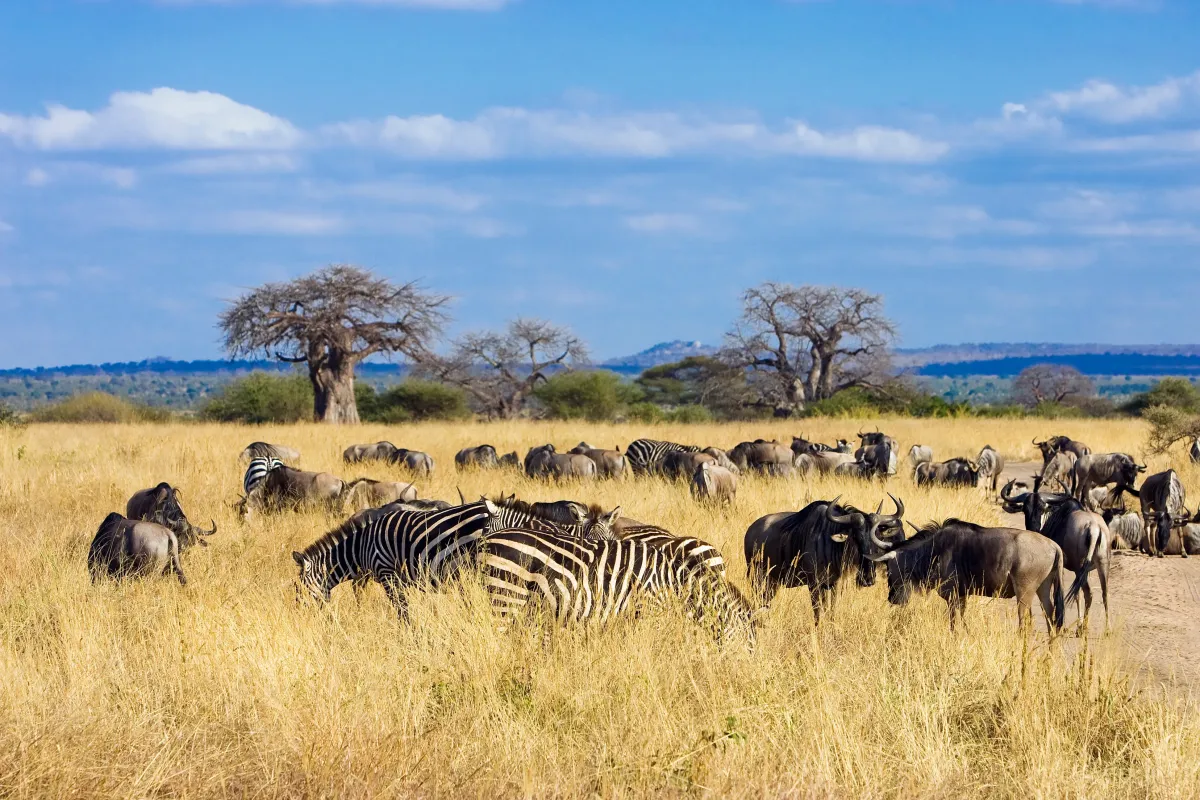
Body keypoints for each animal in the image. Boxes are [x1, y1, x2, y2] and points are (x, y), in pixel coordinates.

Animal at [292, 499, 495, 614]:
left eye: (298, 587)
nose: (298, 615)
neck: (360, 548)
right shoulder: (399, 578)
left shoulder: (386, 573)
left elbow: (401, 609)